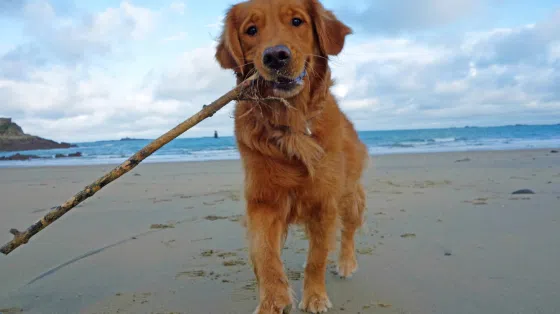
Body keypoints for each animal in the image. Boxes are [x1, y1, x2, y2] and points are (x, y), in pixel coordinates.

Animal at [214, 0, 368, 312]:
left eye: (297, 21)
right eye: (251, 30)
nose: (275, 56)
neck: (291, 122)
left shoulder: (325, 202)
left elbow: (317, 257)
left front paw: (315, 297)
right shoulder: (263, 201)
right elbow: (264, 255)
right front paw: (272, 300)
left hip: (349, 195)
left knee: (349, 230)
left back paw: (346, 263)